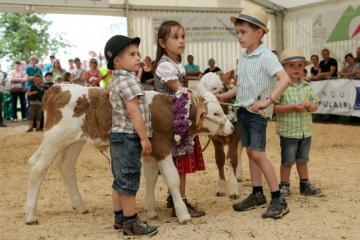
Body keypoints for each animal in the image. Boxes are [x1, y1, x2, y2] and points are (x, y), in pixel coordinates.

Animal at [25, 83, 233, 224]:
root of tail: (57, 88)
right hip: (54, 138)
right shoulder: (161, 147)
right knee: (37, 166)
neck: (169, 110)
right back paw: (30, 215)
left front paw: (151, 211)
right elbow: (172, 178)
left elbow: (151, 178)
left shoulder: (149, 151)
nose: (231, 127)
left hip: (74, 142)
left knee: (66, 167)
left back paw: (81, 206)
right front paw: (183, 215)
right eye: (215, 113)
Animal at [197, 72, 245, 200]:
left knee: (240, 150)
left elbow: (232, 159)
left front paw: (234, 190)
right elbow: (220, 159)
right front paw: (221, 187)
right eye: (199, 88)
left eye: (215, 88)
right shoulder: (215, 139)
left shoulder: (235, 135)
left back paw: (238, 174)